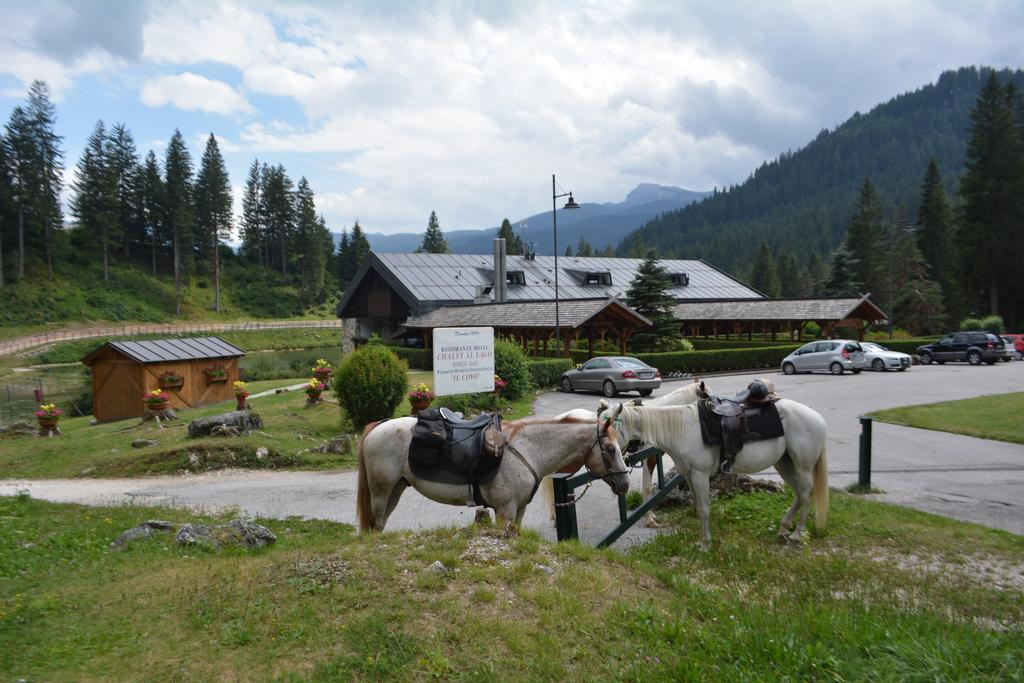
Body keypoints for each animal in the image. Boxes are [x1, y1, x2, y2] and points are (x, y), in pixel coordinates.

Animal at [360, 413, 630, 532]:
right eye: (609, 449)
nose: (625, 483)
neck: (528, 450)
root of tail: (379, 425)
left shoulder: (518, 511)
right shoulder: (505, 511)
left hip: (395, 489)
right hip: (381, 492)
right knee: (375, 525)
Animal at [602, 401, 827, 548]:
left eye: (608, 429)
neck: (681, 429)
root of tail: (818, 419)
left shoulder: (700, 475)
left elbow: (703, 509)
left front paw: (704, 544)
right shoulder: (689, 476)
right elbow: (699, 507)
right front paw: (702, 540)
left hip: (803, 467)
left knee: (805, 494)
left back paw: (796, 535)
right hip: (784, 464)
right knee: (798, 494)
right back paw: (783, 529)